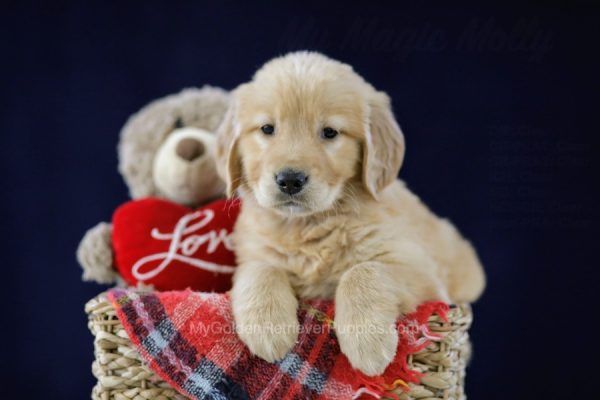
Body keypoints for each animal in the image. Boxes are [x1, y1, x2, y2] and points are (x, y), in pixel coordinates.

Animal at [214, 50, 482, 376]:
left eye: (330, 133)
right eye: (267, 129)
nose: (290, 180)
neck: (308, 225)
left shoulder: (422, 273)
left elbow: (363, 270)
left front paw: (367, 341)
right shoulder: (253, 253)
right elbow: (260, 269)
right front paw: (267, 327)